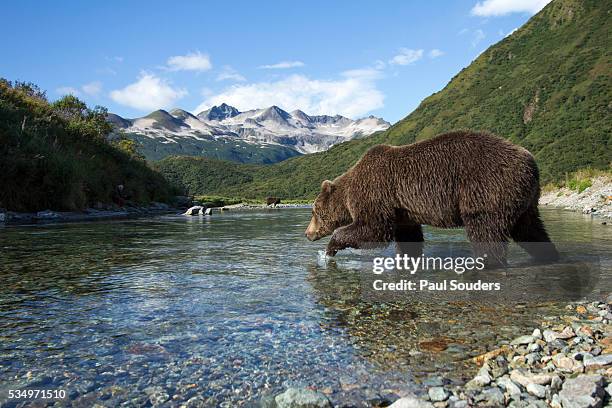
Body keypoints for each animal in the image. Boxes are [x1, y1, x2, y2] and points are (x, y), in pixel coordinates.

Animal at [306, 129, 560, 266]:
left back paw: (484, 264)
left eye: (315, 211)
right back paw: (548, 255)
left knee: (485, 230)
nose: (308, 234)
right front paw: (407, 260)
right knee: (530, 229)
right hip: (522, 199)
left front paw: (331, 247)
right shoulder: (403, 211)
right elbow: (408, 237)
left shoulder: (376, 193)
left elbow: (374, 229)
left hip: (486, 188)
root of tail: (530, 161)